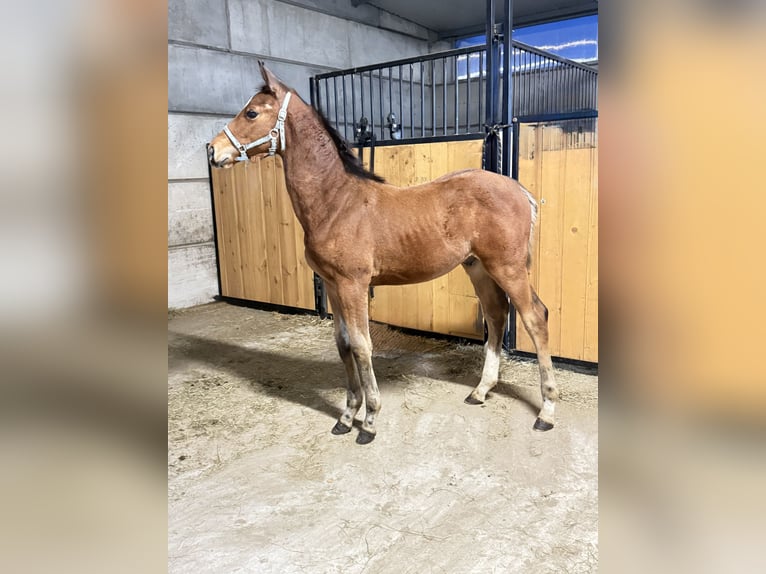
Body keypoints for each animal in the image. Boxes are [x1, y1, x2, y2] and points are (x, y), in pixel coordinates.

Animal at [209, 62, 558, 444]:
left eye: (252, 112)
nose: (212, 150)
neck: (336, 203)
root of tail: (521, 191)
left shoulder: (353, 285)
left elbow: (362, 345)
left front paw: (370, 421)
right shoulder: (332, 285)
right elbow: (343, 344)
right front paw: (346, 416)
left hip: (507, 267)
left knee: (535, 317)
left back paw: (546, 412)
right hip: (477, 266)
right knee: (496, 314)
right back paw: (480, 392)